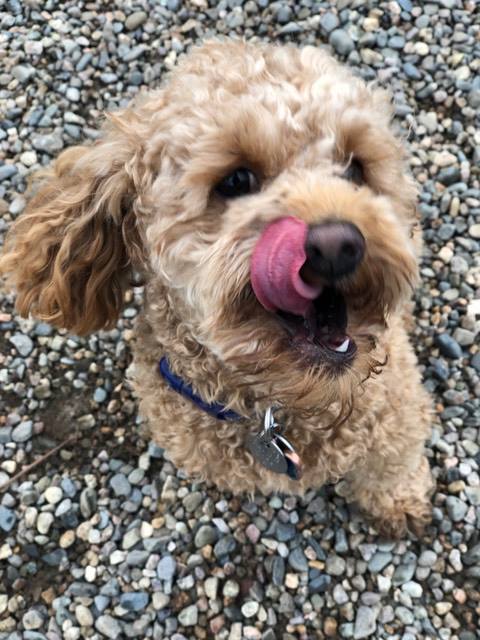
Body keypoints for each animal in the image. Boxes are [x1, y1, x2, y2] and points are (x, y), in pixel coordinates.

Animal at [0, 40, 436, 536]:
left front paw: (399, 502)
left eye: (356, 169)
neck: (278, 406)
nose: (338, 244)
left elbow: (393, 462)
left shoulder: (397, 412)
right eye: (236, 180)